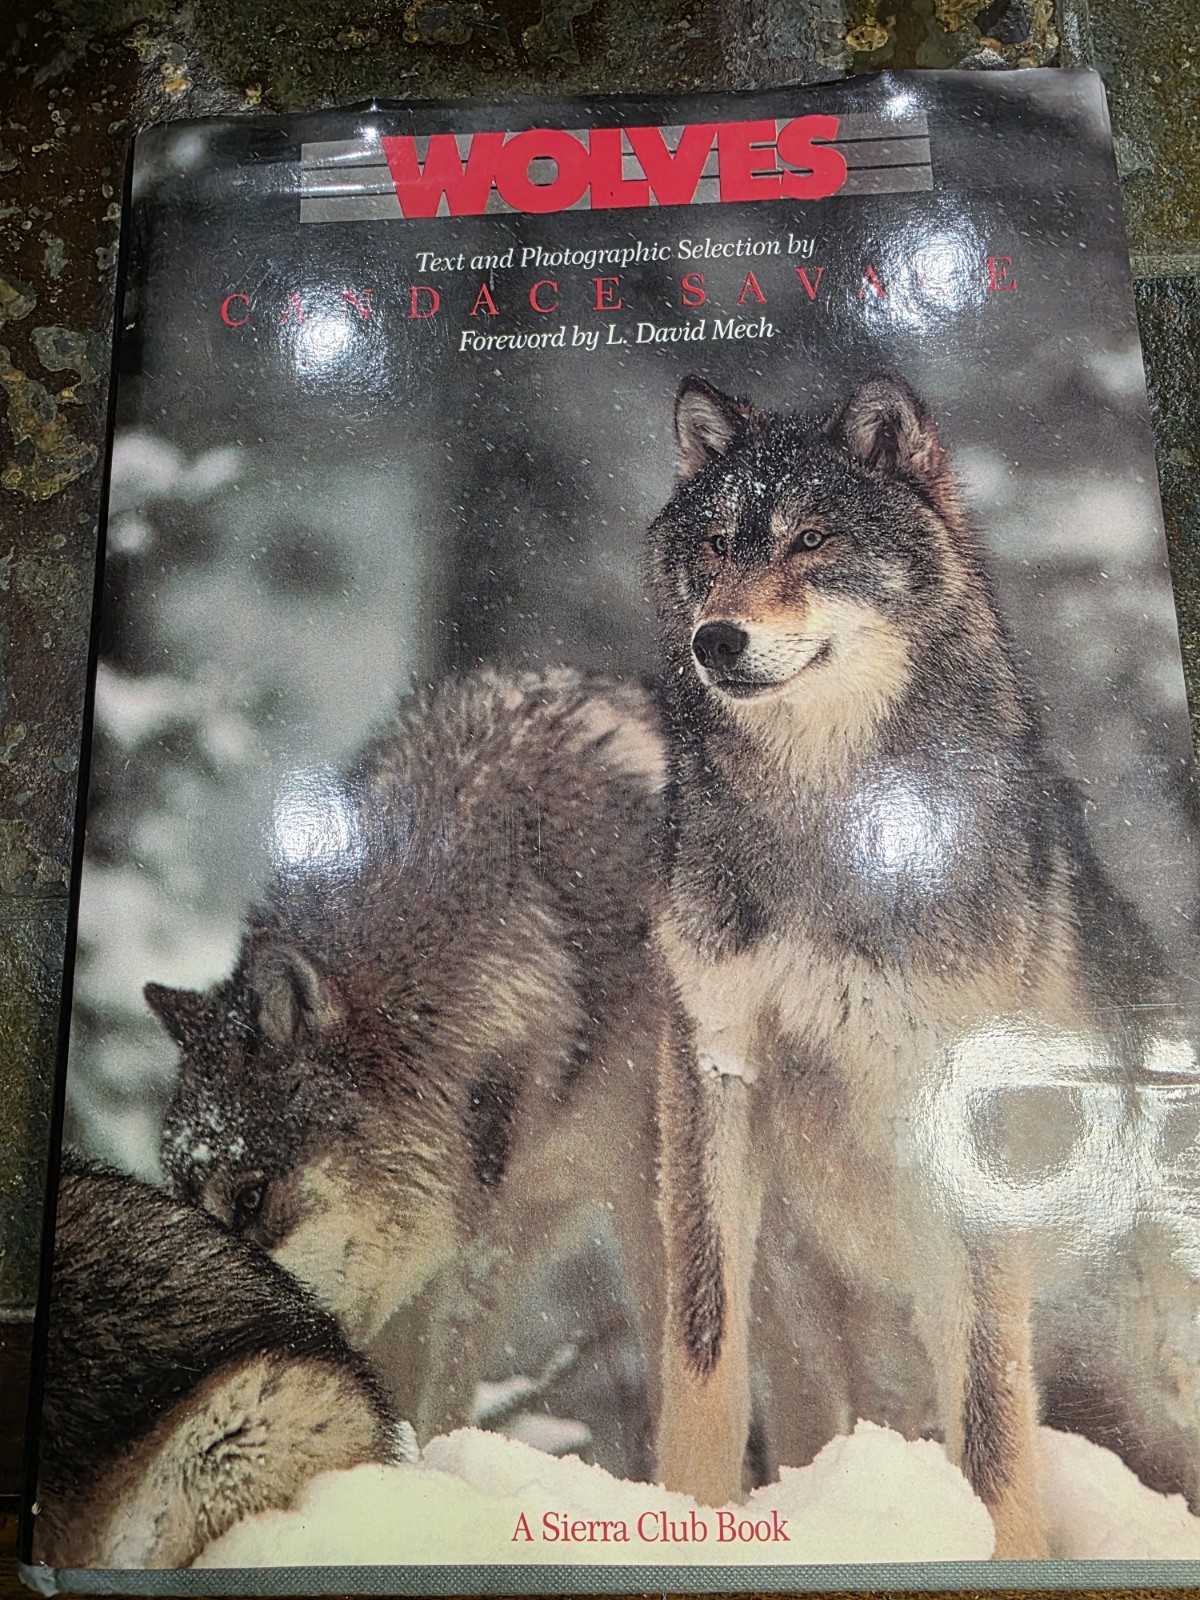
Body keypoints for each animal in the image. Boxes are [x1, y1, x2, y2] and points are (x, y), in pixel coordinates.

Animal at [646, 372, 1175, 1557]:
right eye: (717, 544)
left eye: (812, 539)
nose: (716, 640)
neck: (827, 829)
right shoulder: (713, 1064)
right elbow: (702, 1344)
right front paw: (681, 1517)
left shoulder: (969, 1111)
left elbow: (986, 1402)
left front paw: (1004, 1553)